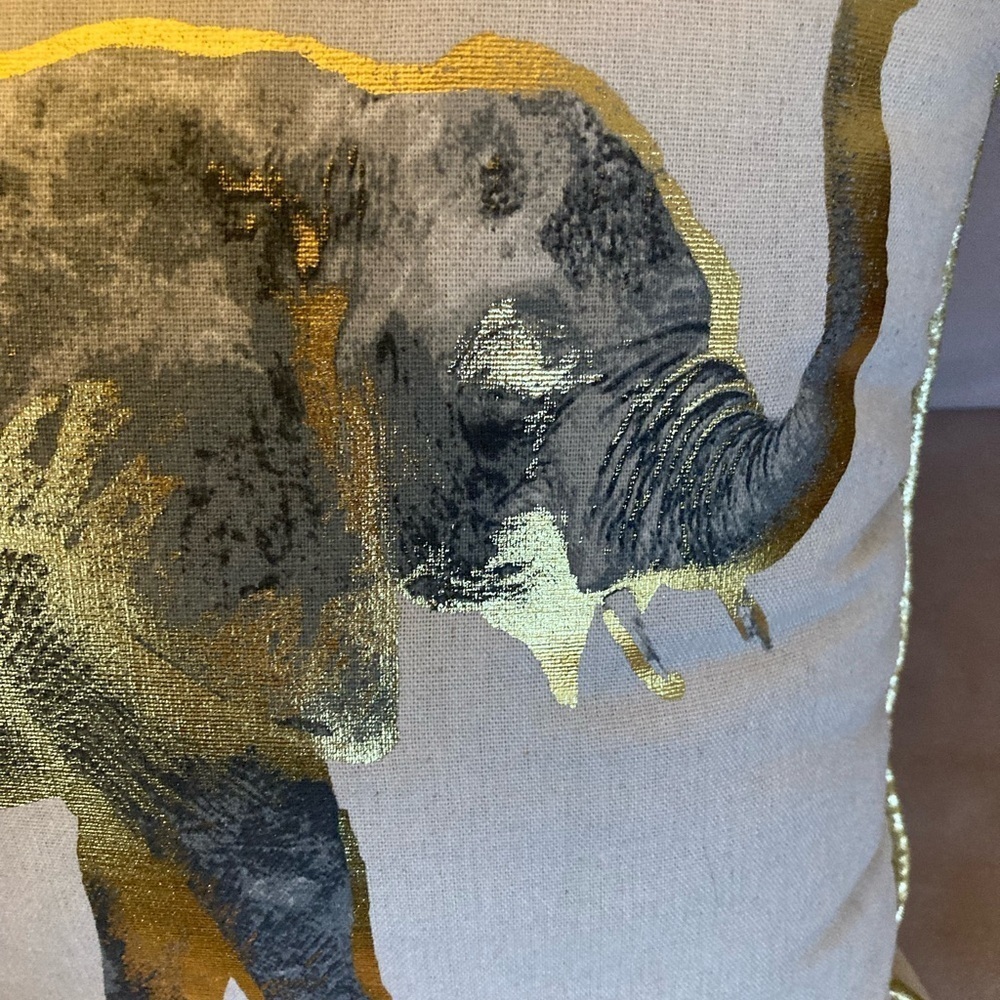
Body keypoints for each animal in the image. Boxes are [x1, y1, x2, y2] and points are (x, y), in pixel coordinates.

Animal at [0, 2, 912, 997]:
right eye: (502, 414)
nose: (886, 21)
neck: (326, 147)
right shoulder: (77, 554)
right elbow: (259, 845)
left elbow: (147, 893)